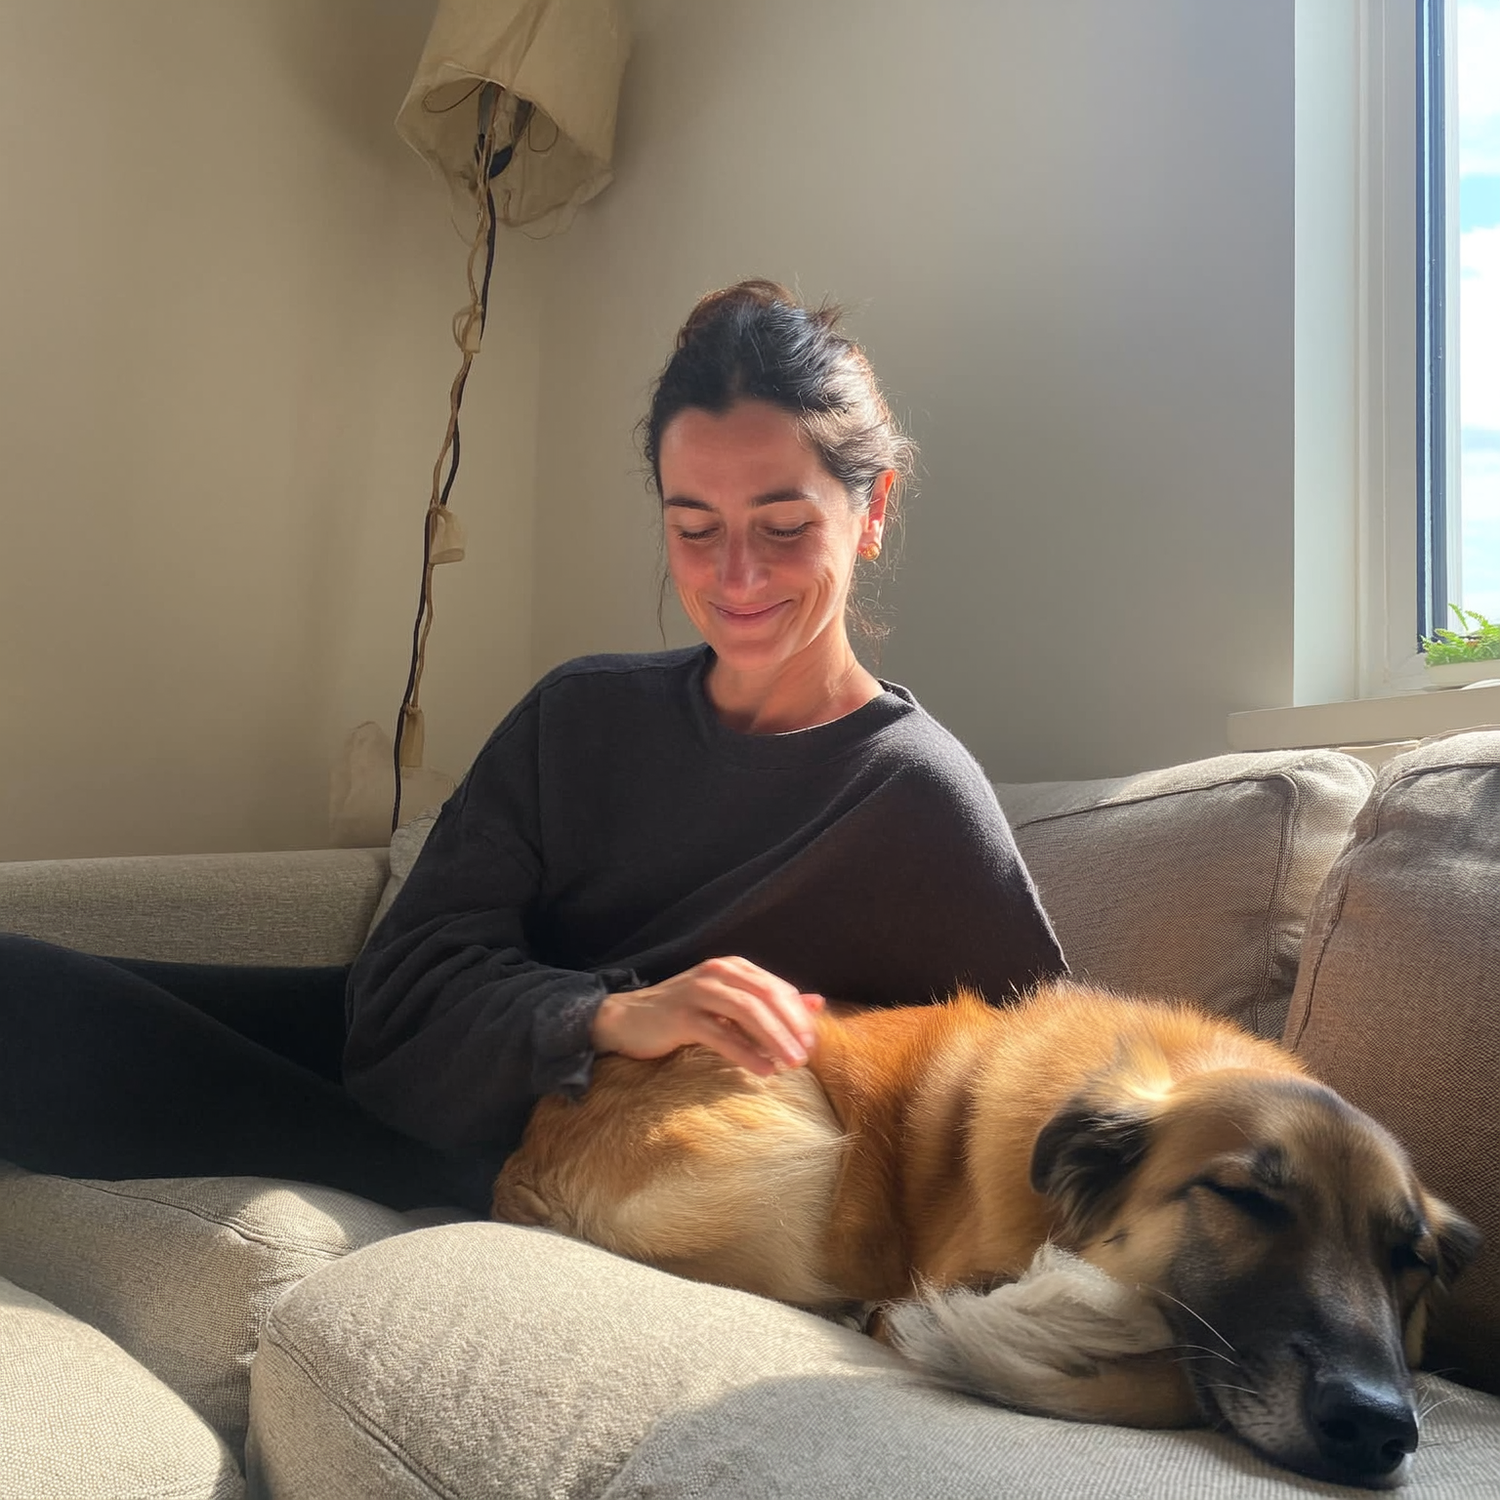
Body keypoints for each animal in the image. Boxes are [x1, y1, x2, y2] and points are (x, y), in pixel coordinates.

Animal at [492, 980, 1480, 1489]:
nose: (1377, 1428)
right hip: (805, 1141)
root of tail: (526, 1156)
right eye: (1246, 1200)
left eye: (1410, 1261)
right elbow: (1167, 1371)